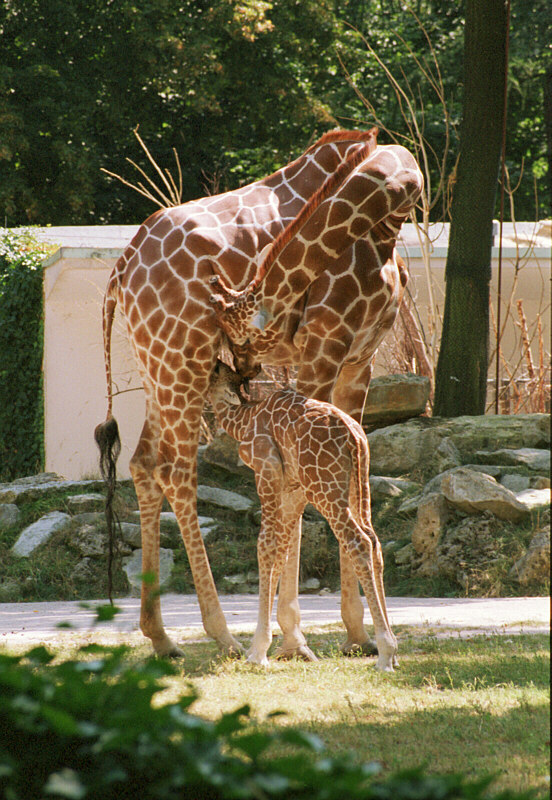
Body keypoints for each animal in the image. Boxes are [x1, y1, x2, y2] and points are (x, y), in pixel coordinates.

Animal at [208, 360, 397, 671]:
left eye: (214, 371)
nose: (211, 364)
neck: (244, 420)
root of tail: (355, 438)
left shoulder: (266, 471)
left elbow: (266, 545)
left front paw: (258, 653)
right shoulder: (293, 487)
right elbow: (281, 550)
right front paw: (263, 649)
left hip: (325, 487)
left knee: (357, 541)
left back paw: (385, 652)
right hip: (359, 484)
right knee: (375, 542)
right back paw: (392, 651)